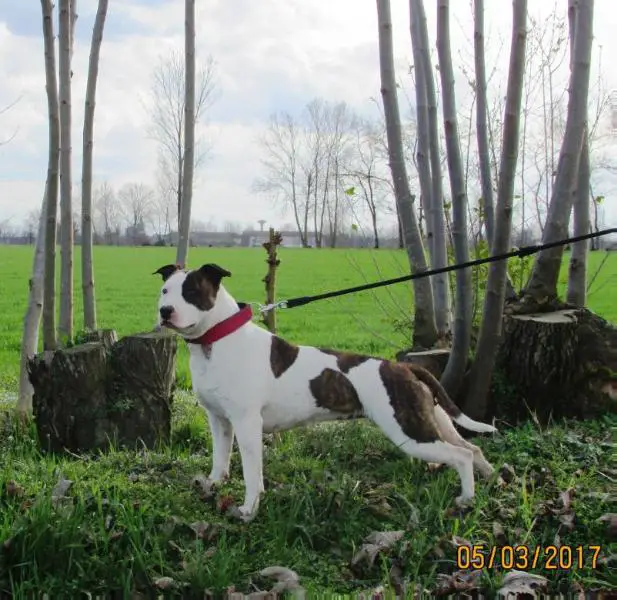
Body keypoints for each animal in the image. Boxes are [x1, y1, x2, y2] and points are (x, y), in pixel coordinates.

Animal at [154, 262, 496, 520]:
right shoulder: (219, 420)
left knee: (461, 455)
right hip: (432, 420)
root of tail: (405, 368)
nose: (165, 311)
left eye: (192, 292)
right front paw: (212, 484)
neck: (216, 341)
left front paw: (249, 509)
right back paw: (490, 478)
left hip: (409, 431)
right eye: (165, 290)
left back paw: (465, 498)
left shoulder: (247, 424)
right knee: (471, 447)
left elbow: (252, 474)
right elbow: (220, 457)